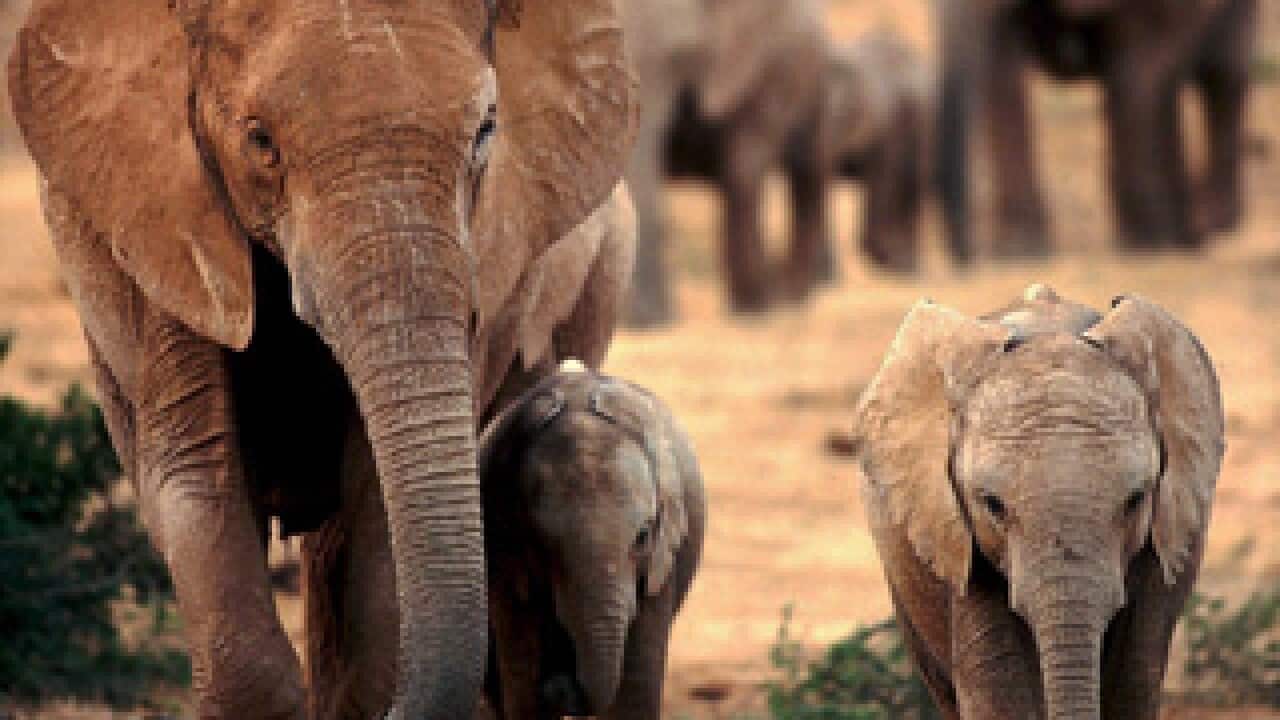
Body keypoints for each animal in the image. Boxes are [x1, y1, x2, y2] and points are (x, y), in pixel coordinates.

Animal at [477, 366, 706, 719]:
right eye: (542, 544)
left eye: (643, 536)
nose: (559, 682)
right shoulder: (506, 558)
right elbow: (525, 691)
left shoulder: (660, 566)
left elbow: (634, 695)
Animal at [621, 0, 833, 326]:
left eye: (681, 57)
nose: (646, 322)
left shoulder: (764, 73)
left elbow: (743, 167)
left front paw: (756, 311)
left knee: (806, 175)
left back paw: (789, 302)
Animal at [938, 0, 1258, 257]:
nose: (972, 257)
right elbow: (999, 69)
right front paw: (1018, 252)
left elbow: (1134, 73)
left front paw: (1142, 246)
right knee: (1177, 89)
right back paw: (1183, 235)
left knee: (1222, 75)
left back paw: (1199, 227)